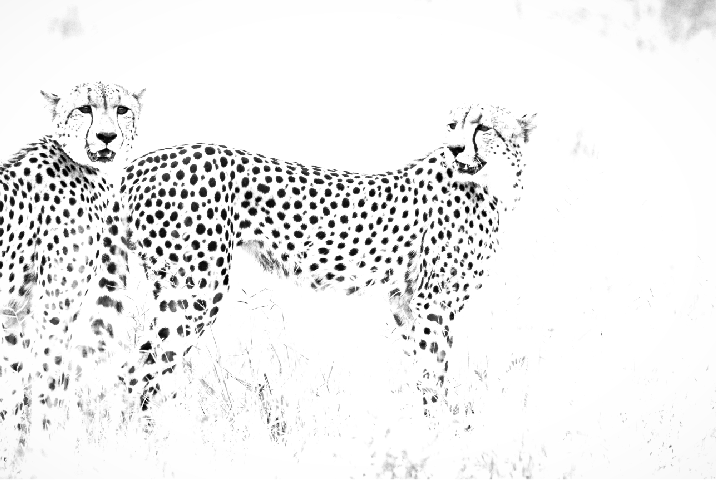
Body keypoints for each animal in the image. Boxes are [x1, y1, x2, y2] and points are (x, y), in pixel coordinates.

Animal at [0, 82, 144, 452]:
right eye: (84, 109)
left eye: (122, 110)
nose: (106, 136)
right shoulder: (54, 308)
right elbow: (50, 380)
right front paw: (49, 446)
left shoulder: (14, 312)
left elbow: (16, 386)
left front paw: (18, 450)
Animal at [117, 103, 537, 422]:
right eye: (453, 125)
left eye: (483, 128)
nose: (454, 148)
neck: (494, 185)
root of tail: (143, 161)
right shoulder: (434, 303)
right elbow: (435, 373)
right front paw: (442, 433)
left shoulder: (404, 302)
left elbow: (422, 370)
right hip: (195, 292)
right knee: (134, 369)